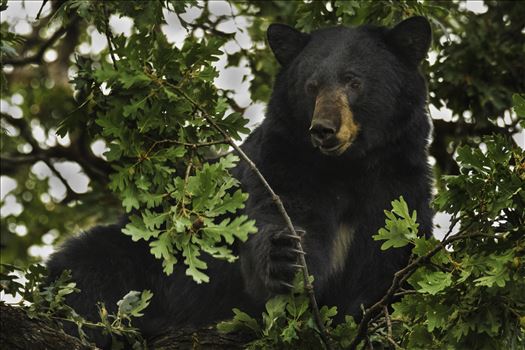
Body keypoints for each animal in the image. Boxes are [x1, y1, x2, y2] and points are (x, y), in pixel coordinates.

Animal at [46, 17, 430, 348]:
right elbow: (276, 222)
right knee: (87, 268)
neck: (347, 169)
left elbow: (384, 266)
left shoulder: (399, 187)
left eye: (354, 82)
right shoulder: (282, 165)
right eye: (311, 86)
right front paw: (285, 257)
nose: (323, 129)